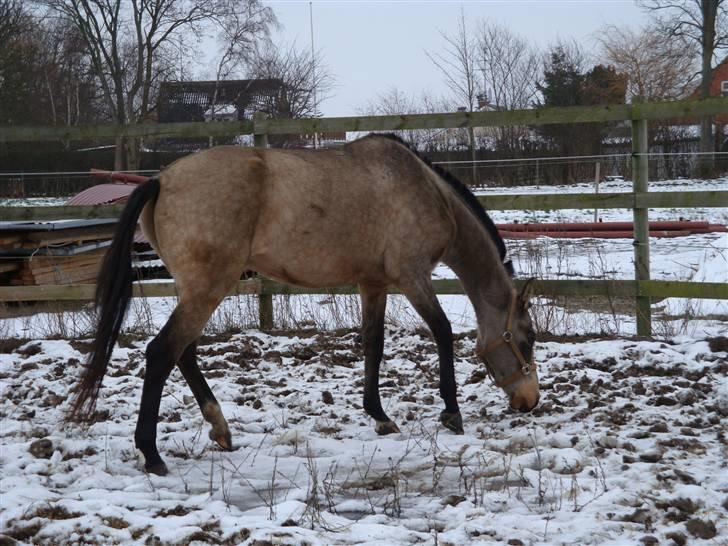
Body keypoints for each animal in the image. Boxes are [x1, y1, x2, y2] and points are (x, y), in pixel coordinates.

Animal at [69, 134, 540, 474]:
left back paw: (220, 430)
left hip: (197, 289)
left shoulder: (373, 284)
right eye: (528, 339)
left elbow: (373, 344)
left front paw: (379, 415)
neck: (423, 189)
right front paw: (451, 412)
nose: (529, 401)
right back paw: (152, 455)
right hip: (209, 287)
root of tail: (161, 180)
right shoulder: (413, 277)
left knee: (183, 352)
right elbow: (442, 332)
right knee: (162, 352)